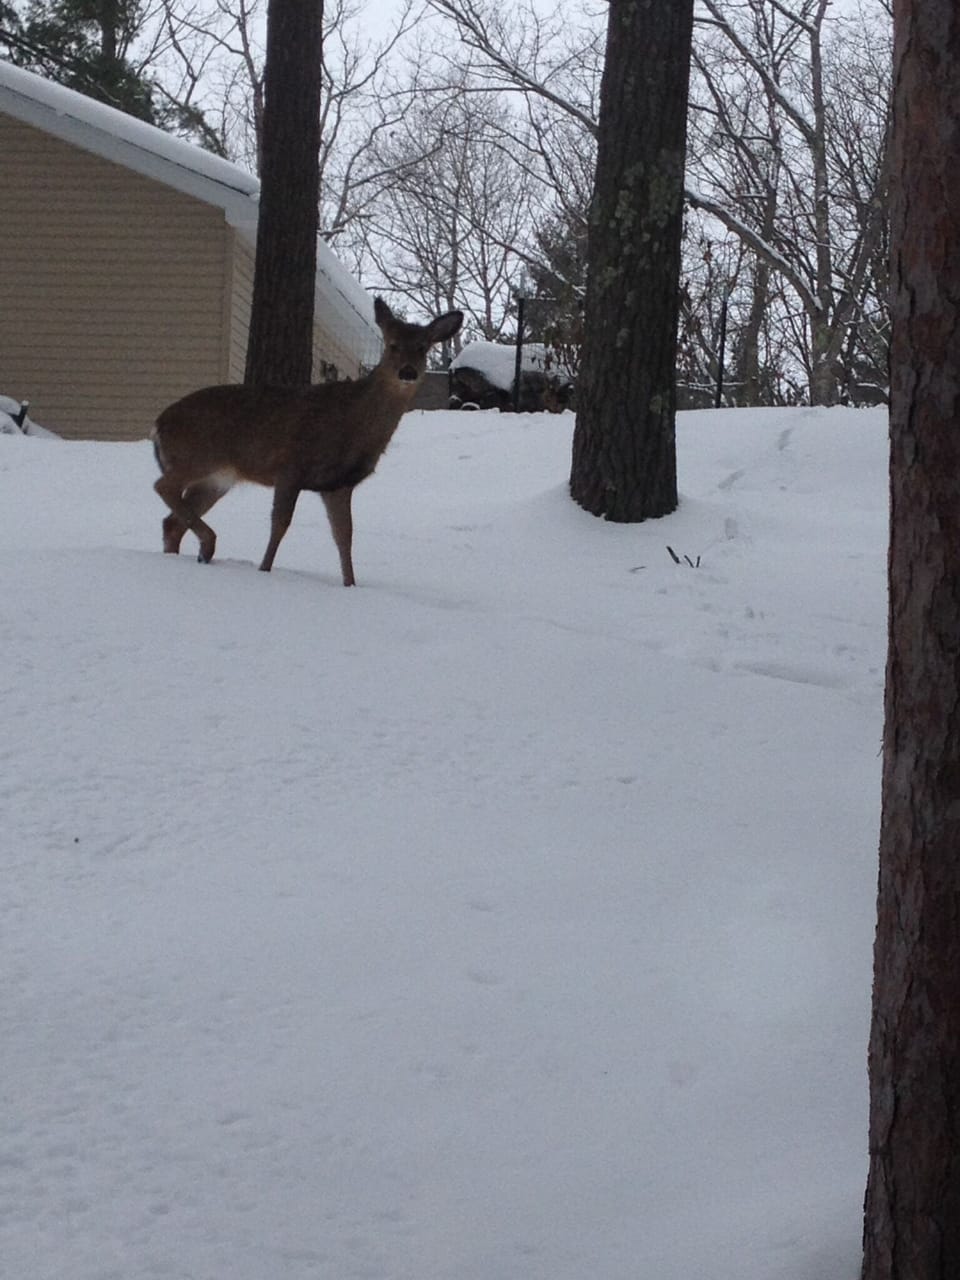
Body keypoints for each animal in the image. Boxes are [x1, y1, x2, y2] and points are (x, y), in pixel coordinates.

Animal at [151, 297, 463, 586]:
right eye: (392, 345)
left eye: (423, 347)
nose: (408, 372)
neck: (353, 424)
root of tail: (158, 425)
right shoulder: (291, 466)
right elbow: (280, 525)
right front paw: (264, 570)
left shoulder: (338, 484)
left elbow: (344, 536)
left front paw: (350, 585)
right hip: (196, 455)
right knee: (163, 487)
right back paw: (208, 545)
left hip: (216, 479)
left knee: (171, 521)